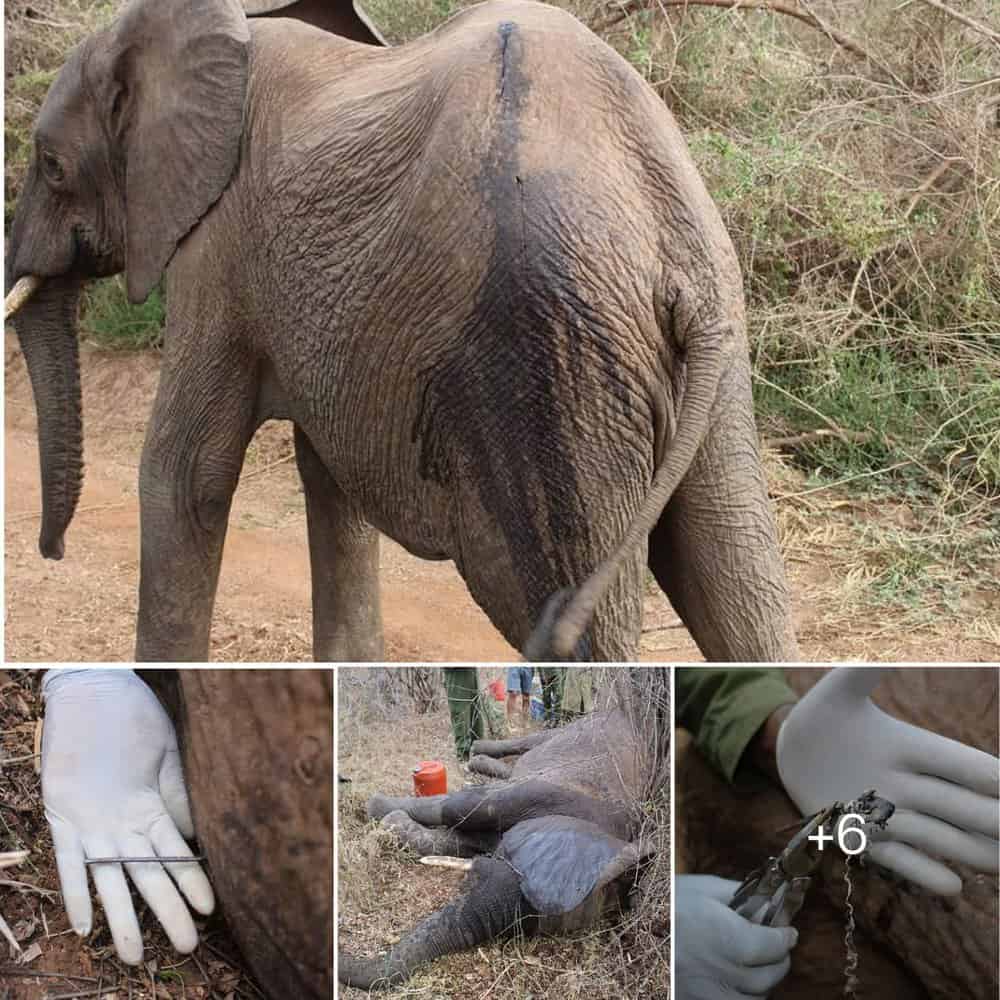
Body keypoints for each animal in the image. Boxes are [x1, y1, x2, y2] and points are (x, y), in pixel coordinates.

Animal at [5, 0, 798, 663]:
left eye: (51, 165)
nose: (52, 551)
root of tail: (662, 230)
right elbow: (327, 482)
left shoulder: (218, 245)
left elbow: (187, 472)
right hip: (704, 341)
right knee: (736, 574)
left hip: (549, 360)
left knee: (574, 619)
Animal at [340, 707, 665, 990]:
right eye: (477, 876)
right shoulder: (545, 794)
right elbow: (458, 806)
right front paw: (377, 807)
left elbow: (458, 840)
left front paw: (391, 822)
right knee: (533, 741)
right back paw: (476, 753)